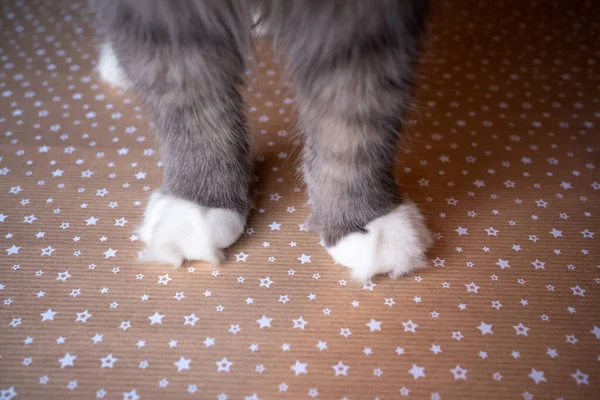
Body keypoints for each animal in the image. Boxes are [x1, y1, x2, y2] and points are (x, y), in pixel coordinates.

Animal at [90, 0, 432, 282]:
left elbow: (354, 126)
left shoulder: (365, 25)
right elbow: (189, 101)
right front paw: (198, 200)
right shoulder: (164, 20)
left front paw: (365, 219)